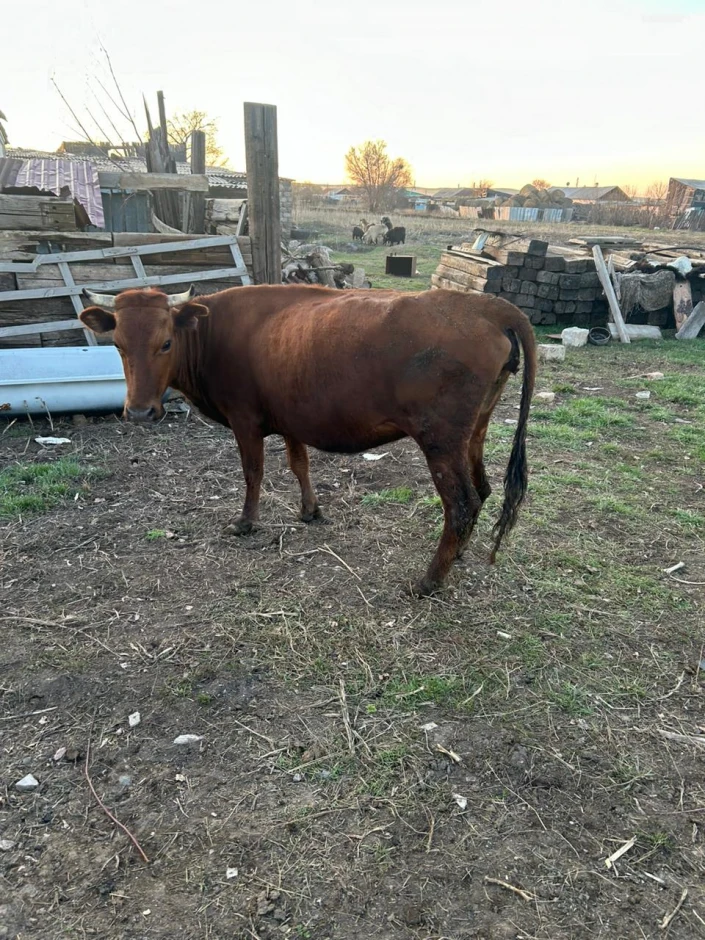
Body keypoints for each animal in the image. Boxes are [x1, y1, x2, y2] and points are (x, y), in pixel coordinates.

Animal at [80, 285, 536, 596]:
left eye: (166, 342)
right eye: (117, 345)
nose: (140, 412)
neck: (213, 333)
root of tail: (485, 304)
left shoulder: (244, 419)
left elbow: (253, 472)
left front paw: (246, 522)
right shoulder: (290, 419)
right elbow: (299, 464)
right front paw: (310, 510)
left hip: (439, 438)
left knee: (461, 502)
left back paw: (429, 580)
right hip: (474, 430)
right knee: (483, 488)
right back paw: (457, 555)